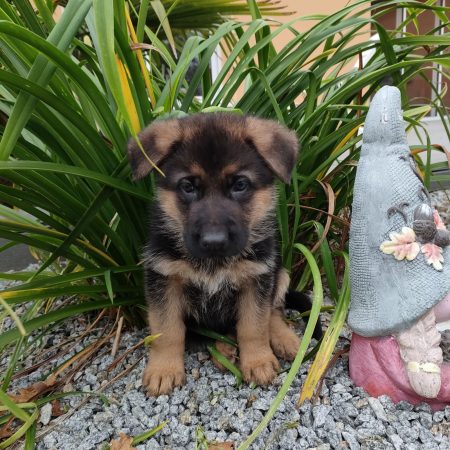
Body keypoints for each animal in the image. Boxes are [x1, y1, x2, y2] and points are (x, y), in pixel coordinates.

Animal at [128, 114, 318, 396]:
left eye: (240, 185)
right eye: (188, 186)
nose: (214, 242)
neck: (214, 263)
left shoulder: (257, 277)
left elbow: (254, 326)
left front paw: (258, 361)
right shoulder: (164, 279)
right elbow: (167, 330)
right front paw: (164, 369)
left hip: (279, 272)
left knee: (273, 311)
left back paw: (285, 339)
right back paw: (224, 350)